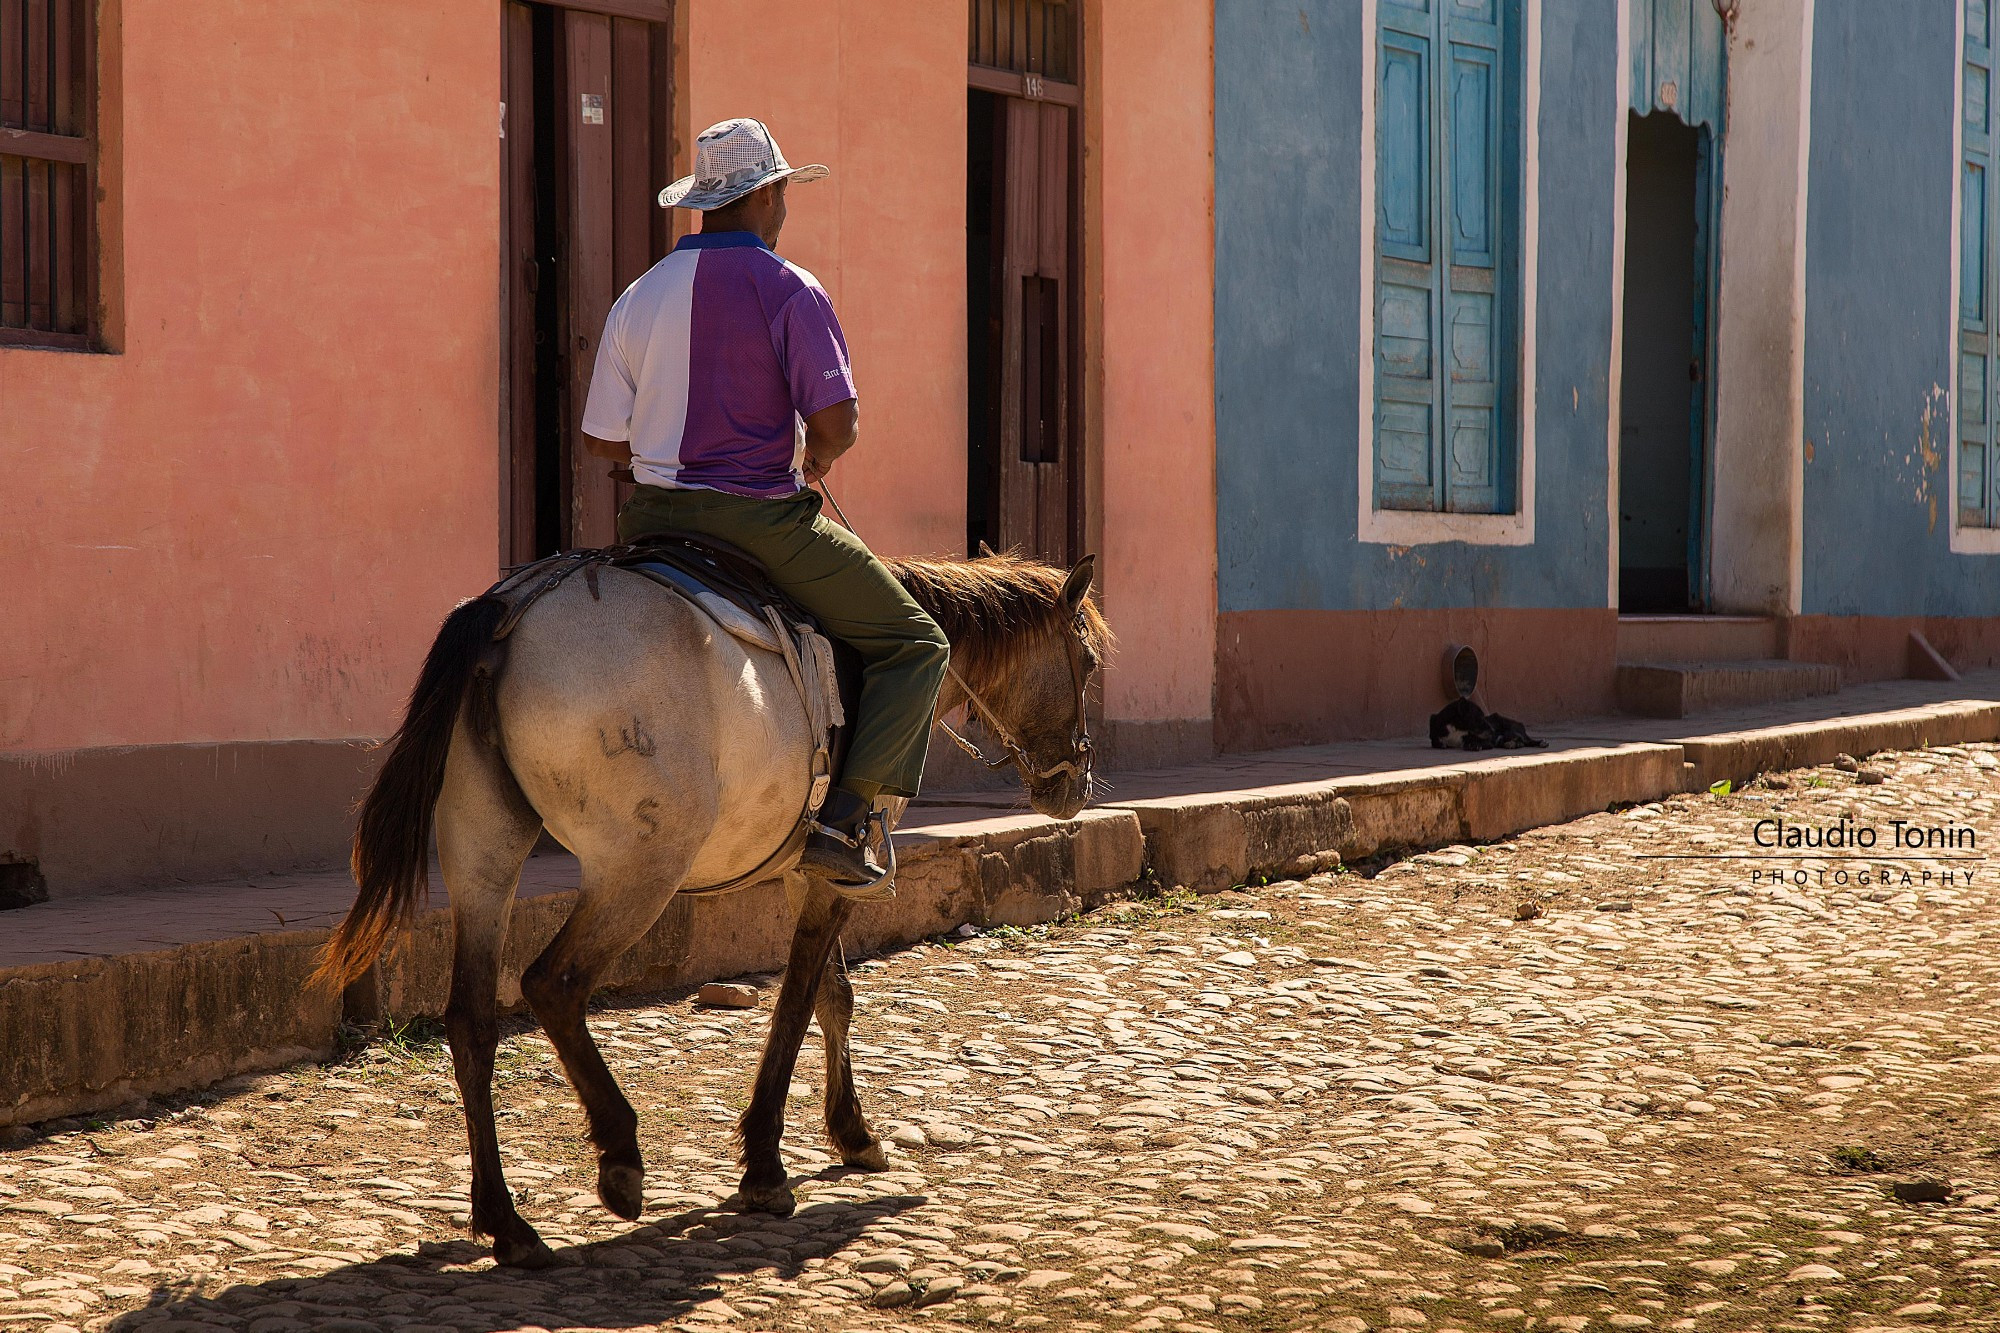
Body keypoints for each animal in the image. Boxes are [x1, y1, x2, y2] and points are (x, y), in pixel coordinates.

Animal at [312, 548, 1112, 1264]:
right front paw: (765, 1165)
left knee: (471, 1020)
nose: (1075, 784)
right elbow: (797, 1001)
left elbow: (835, 994)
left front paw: (852, 1133)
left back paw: (507, 1223)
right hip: (639, 867)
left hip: (484, 853)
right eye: (1087, 661)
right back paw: (619, 1156)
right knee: (553, 983)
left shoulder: (806, 867)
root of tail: (516, 608)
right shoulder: (836, 871)